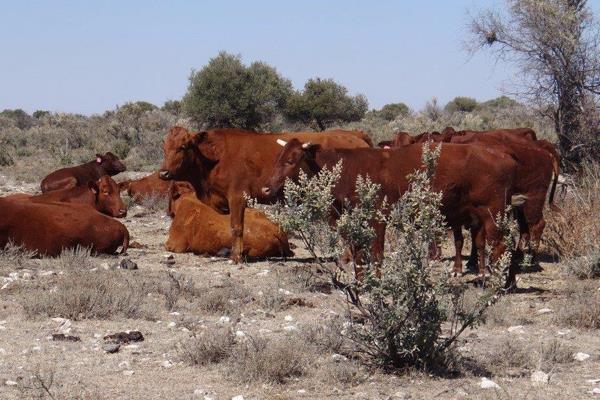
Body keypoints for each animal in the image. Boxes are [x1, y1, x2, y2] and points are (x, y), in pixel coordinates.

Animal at [157, 126, 372, 262]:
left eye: (183, 146)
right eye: (164, 147)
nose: (163, 173)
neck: (215, 158)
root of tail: (356, 135)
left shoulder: (237, 197)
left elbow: (236, 227)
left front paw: (236, 257)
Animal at [262, 139, 524, 286]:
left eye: (292, 160)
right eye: (277, 158)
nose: (266, 187)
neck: (349, 168)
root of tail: (503, 154)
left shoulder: (377, 217)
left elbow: (376, 252)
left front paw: (375, 282)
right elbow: (358, 251)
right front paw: (361, 280)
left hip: (493, 213)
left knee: (501, 244)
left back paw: (498, 281)